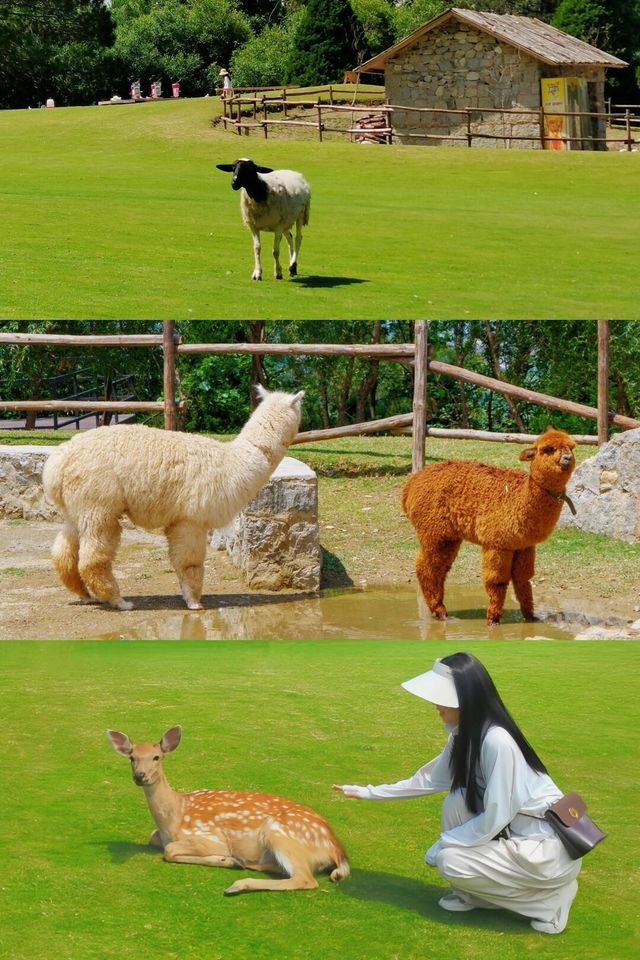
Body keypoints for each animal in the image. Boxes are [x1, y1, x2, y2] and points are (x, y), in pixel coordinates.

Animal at [107, 724, 348, 896]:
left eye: (157, 757)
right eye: (132, 757)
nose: (140, 776)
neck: (174, 818)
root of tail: (336, 848)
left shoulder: (212, 837)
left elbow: (170, 850)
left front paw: (227, 860)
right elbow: (154, 839)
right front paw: (230, 861)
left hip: (280, 833)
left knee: (305, 878)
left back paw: (238, 883)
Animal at [402, 430, 576, 628]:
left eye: (571, 447)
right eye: (548, 449)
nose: (567, 458)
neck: (519, 498)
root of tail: (411, 485)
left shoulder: (523, 545)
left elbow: (523, 580)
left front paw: (530, 617)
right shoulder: (497, 542)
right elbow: (497, 582)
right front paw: (493, 619)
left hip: (448, 535)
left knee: (440, 567)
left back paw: (440, 611)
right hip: (434, 530)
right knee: (426, 566)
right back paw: (440, 611)